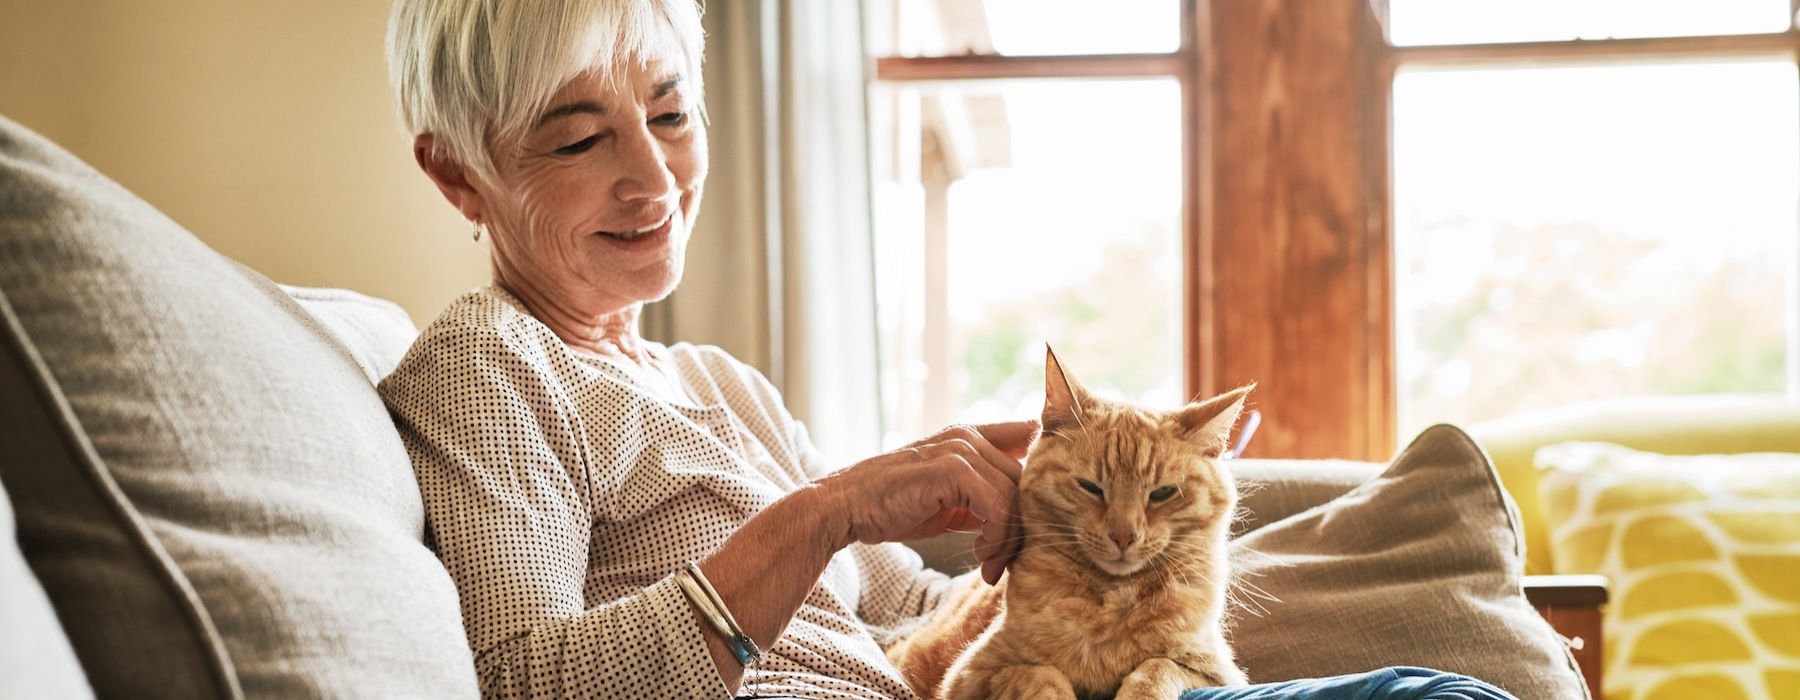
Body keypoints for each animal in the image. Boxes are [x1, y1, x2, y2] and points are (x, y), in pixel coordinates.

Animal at [889, 345, 1252, 694]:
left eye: (1163, 492)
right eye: (1090, 487)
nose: (1124, 536)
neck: (1110, 600)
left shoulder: (1215, 671)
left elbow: (1156, 668)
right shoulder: (972, 676)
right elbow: (1043, 675)